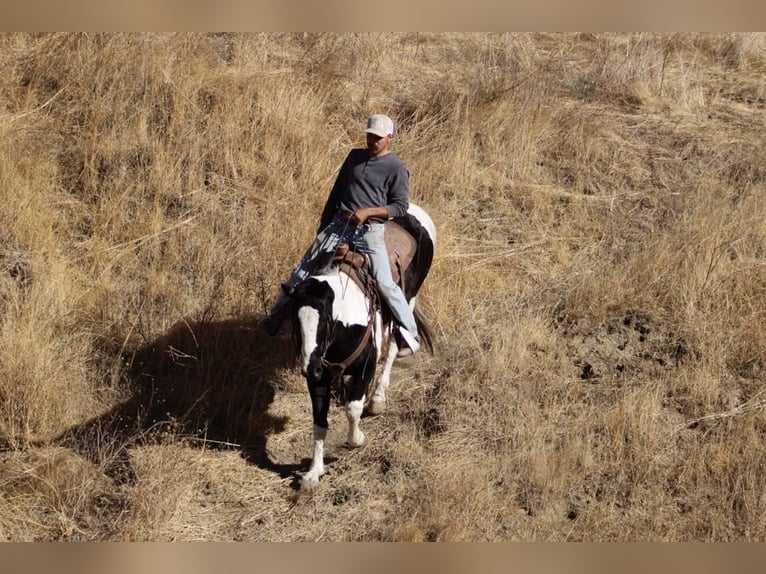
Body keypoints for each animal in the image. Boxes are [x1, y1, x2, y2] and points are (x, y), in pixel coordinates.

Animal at [284, 203, 436, 490]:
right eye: (294, 320)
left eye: (326, 320)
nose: (310, 368)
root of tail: (415, 210)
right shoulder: (320, 377)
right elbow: (319, 421)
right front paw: (313, 473)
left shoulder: (364, 367)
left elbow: (353, 408)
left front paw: (358, 440)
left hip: (407, 300)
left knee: (393, 347)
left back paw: (377, 398)